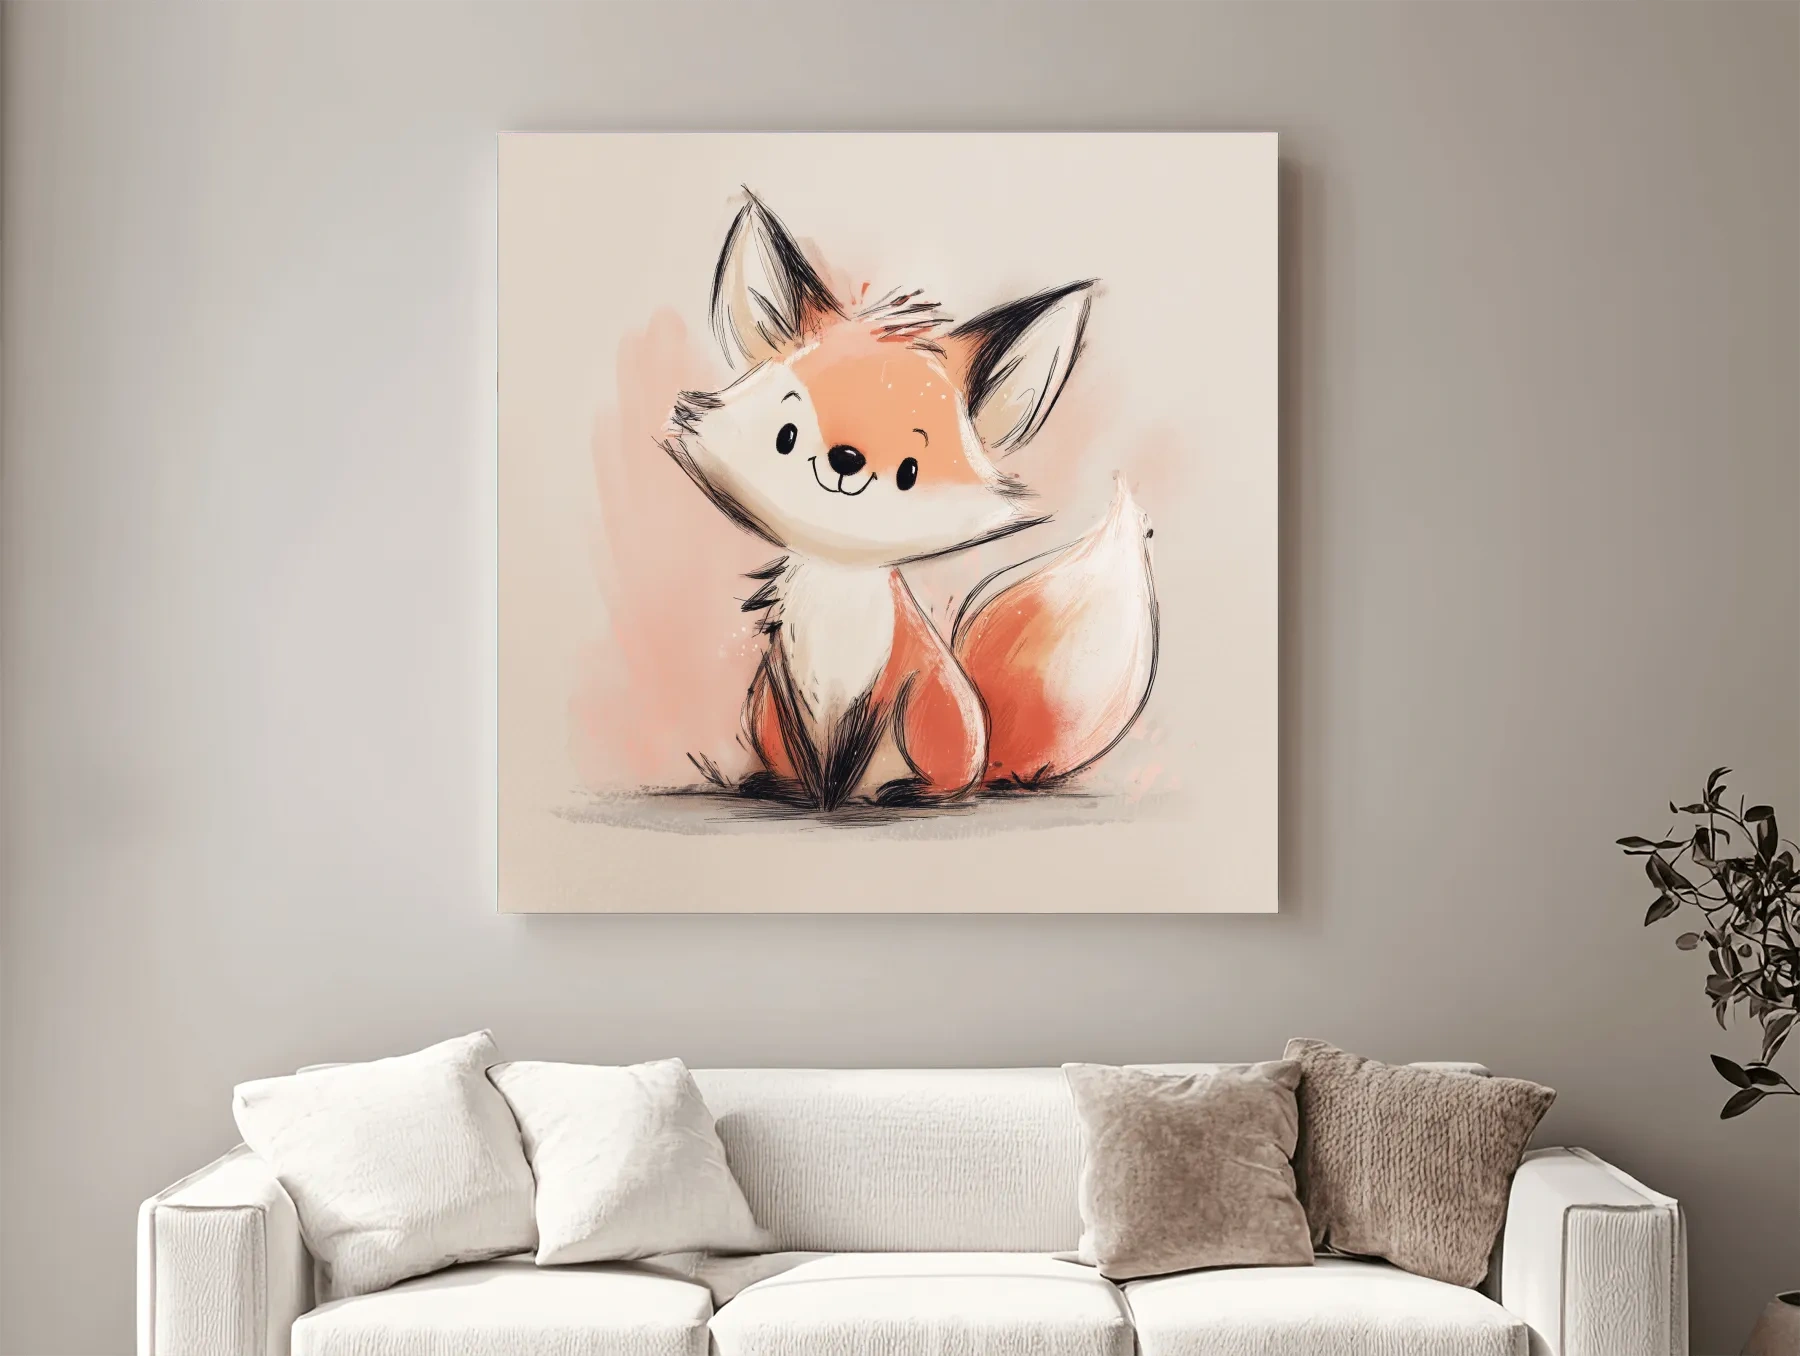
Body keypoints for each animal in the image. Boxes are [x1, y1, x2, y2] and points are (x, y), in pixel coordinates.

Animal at [660, 191, 1159, 811]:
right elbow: (814, 754)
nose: (846, 459)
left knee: (942, 780)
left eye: (909, 471)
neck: (838, 591)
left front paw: (840, 795)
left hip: (933, 717)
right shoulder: (782, 685)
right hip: (767, 714)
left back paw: (904, 792)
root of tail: (990, 760)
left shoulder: (895, 680)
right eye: (787, 436)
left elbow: (854, 747)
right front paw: (816, 794)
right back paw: (782, 785)